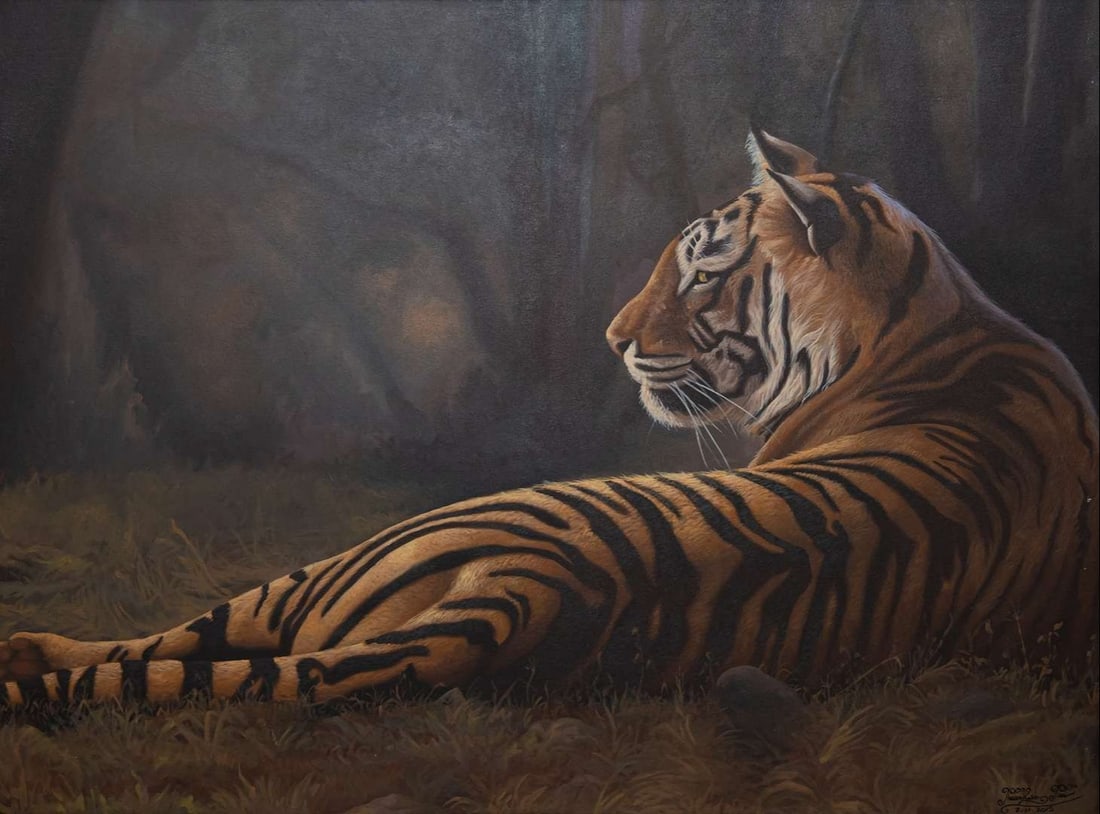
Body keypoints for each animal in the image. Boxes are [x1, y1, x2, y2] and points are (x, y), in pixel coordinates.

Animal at [2, 128, 1096, 710]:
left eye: (701, 274)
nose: (612, 339)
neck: (931, 317)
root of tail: (521, 595)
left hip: (334, 563)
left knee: (155, 645)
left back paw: (25, 646)